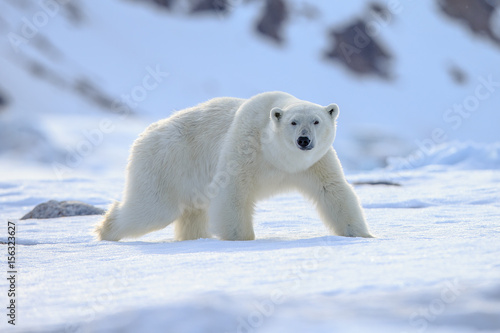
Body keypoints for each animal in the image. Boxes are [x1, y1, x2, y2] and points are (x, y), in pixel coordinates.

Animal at [95, 91, 374, 241]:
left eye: (316, 121)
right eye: (293, 122)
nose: (303, 140)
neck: (277, 156)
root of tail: (144, 134)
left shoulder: (315, 163)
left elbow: (333, 191)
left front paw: (363, 235)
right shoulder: (245, 146)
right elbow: (233, 191)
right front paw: (241, 239)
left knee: (192, 214)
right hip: (166, 164)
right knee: (152, 209)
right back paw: (105, 230)